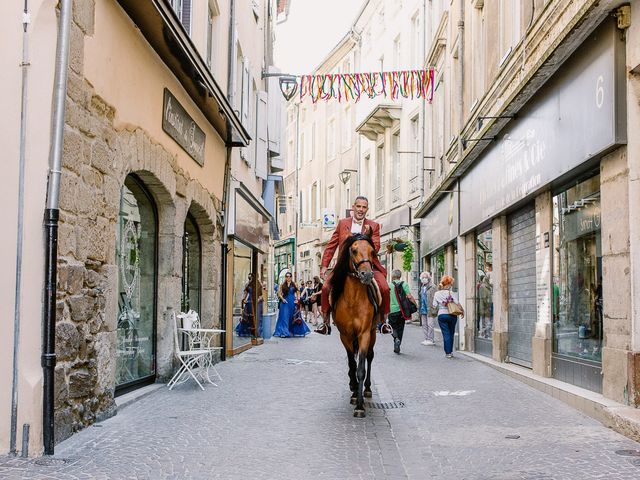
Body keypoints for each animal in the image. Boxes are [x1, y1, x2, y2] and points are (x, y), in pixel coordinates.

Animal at [330, 232, 380, 416]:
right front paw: (353, 391)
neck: (353, 300)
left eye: (373, 251)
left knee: (370, 357)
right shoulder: (345, 335)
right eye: (353, 250)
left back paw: (367, 389)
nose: (367, 275)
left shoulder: (364, 333)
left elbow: (360, 368)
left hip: (373, 333)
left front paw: (359, 405)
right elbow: (352, 363)